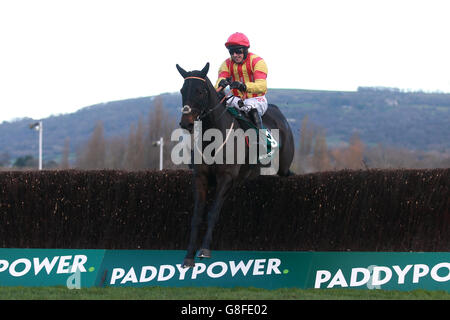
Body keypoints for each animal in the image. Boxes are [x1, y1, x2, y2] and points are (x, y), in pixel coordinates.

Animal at [176, 62, 296, 268]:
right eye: (183, 90)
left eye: (200, 91)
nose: (186, 123)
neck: (213, 137)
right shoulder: (200, 177)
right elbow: (197, 216)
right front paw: (189, 256)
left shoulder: (226, 177)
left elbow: (212, 213)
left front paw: (204, 250)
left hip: (283, 167)